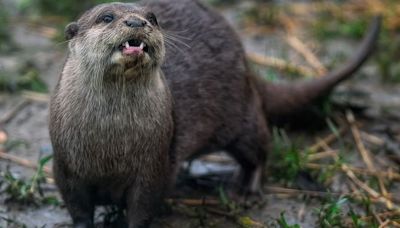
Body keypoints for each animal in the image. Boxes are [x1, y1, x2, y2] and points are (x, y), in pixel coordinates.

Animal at [48, 0, 380, 228]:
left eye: (152, 18)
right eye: (106, 17)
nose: (136, 21)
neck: (110, 145)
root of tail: (247, 62)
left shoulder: (154, 165)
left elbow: (143, 206)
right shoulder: (66, 166)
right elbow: (77, 207)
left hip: (241, 115)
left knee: (260, 148)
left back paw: (246, 191)